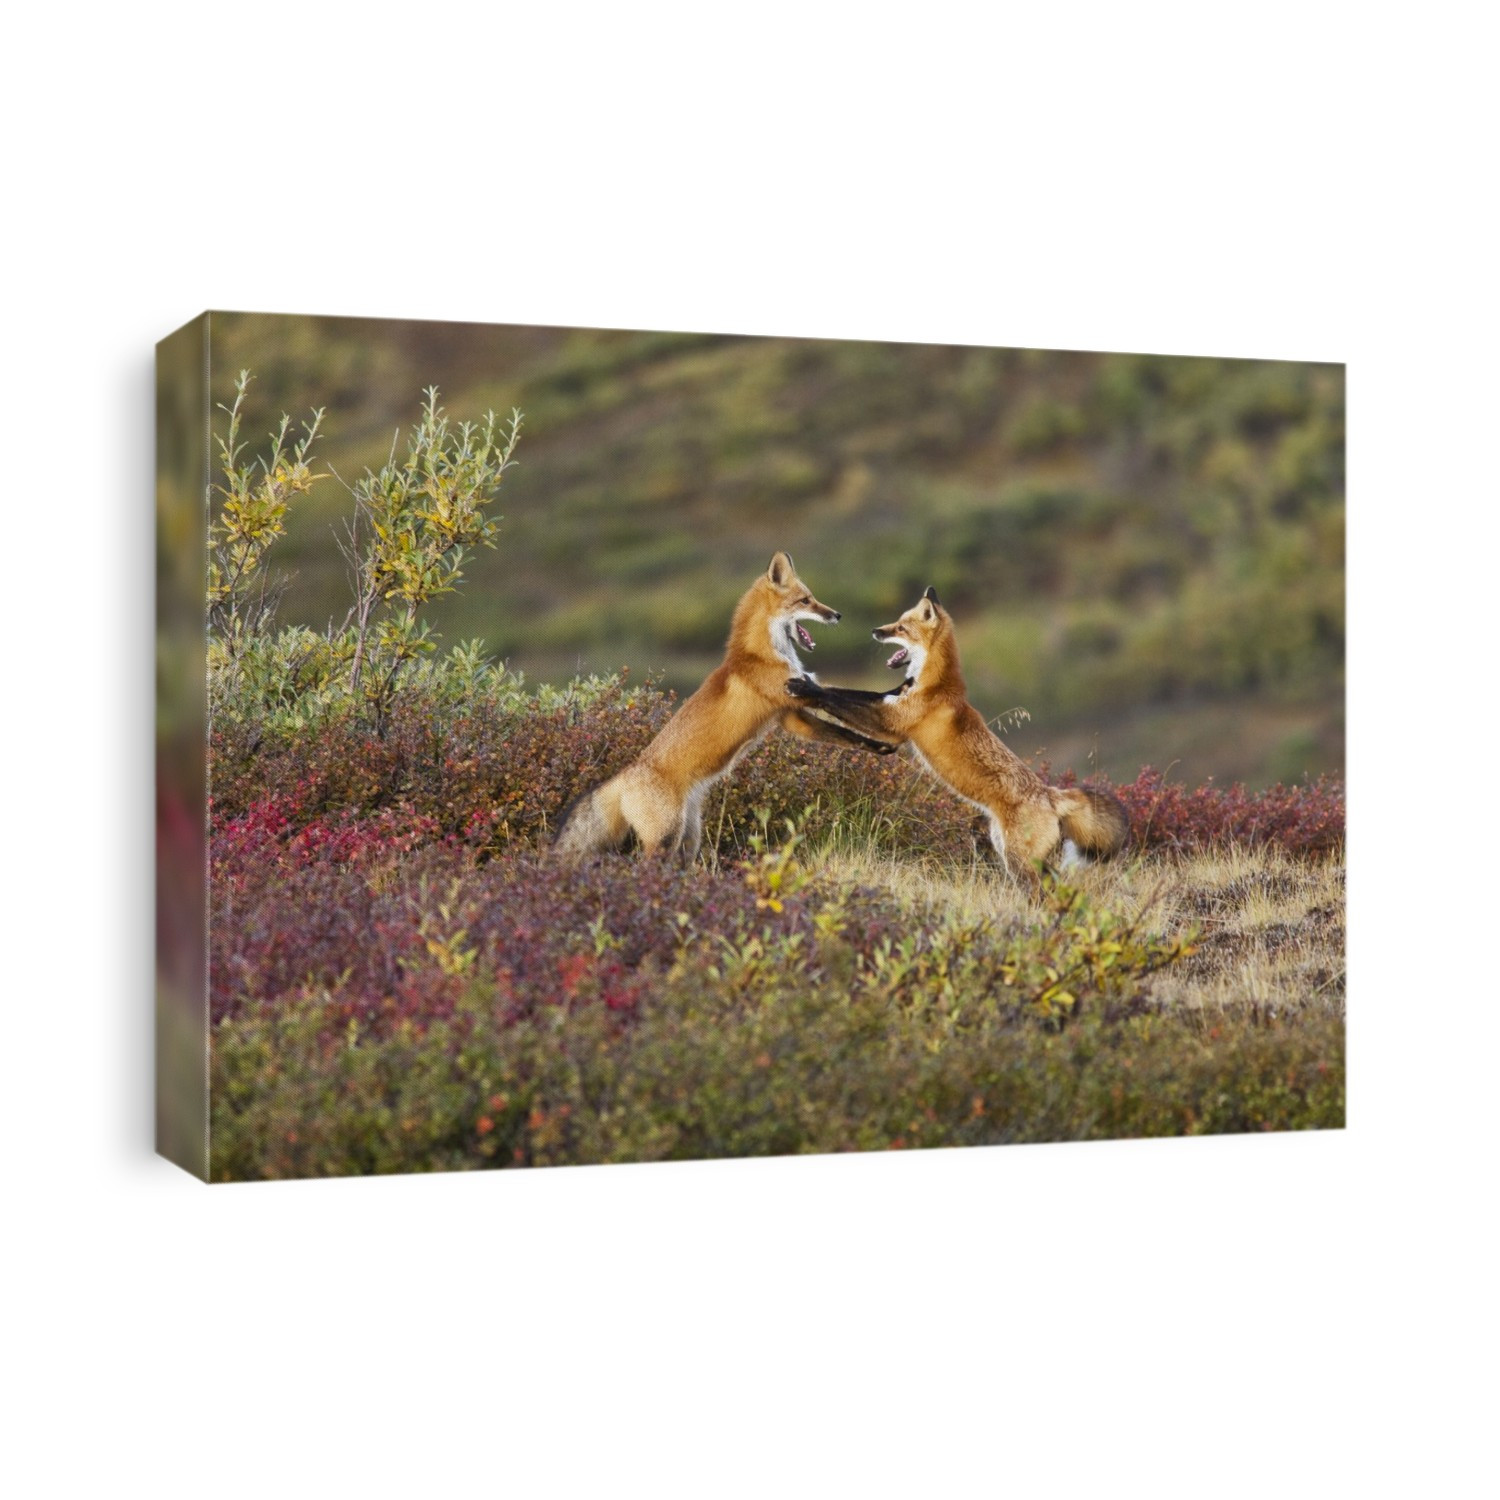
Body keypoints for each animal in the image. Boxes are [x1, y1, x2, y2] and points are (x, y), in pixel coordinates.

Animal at [552, 551, 900, 859]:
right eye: (806, 601)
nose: (837, 615)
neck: (762, 653)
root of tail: (625, 775)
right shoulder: (792, 696)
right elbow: (843, 696)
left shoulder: (791, 717)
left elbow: (845, 732)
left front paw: (879, 745)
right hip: (665, 840)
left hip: (689, 839)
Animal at [786, 586, 1129, 894]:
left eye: (901, 627)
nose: (875, 631)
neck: (931, 683)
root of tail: (1051, 794)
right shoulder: (888, 701)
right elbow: (846, 694)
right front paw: (808, 684)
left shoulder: (893, 722)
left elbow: (838, 697)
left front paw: (806, 688)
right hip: (1013, 855)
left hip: (1019, 863)